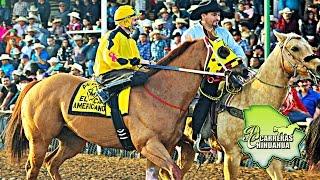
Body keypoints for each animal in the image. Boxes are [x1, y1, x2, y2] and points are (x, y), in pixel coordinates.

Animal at [5, 38, 210, 179]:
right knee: (33, 167)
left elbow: (179, 160)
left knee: (52, 163)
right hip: (40, 139)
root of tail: (37, 83)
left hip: (73, 140)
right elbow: (174, 169)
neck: (160, 92)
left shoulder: (168, 142)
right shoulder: (147, 143)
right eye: (219, 50)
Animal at [179, 31, 320, 179]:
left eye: (310, 46)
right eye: (294, 48)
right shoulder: (232, 155)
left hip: (186, 148)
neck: (251, 101)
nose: (318, 66)